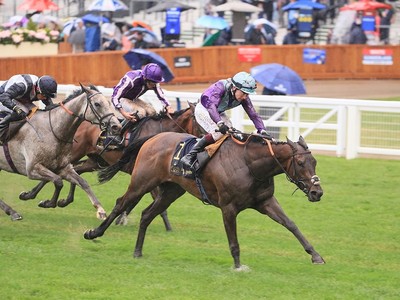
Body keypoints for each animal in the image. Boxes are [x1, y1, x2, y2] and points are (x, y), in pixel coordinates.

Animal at [18, 103, 203, 227]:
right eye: (199, 119)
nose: (204, 137)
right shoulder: (143, 170)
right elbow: (143, 196)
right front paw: (122, 218)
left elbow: (145, 197)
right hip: (75, 153)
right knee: (59, 171)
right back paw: (32, 195)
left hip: (95, 160)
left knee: (76, 172)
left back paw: (62, 200)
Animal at [84, 131, 324, 270]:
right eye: (300, 163)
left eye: (315, 161)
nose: (317, 192)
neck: (249, 164)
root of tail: (152, 138)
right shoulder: (229, 208)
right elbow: (233, 241)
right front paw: (238, 266)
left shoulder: (265, 202)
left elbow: (291, 225)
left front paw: (315, 255)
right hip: (141, 182)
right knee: (120, 203)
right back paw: (94, 233)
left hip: (171, 191)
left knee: (146, 214)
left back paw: (137, 251)